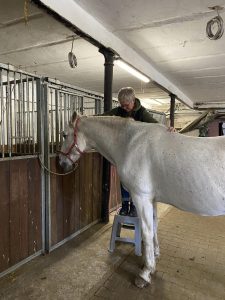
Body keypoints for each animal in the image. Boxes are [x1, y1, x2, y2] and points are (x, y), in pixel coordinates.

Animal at [59, 112, 225, 288]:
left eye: (64, 135)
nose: (61, 163)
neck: (130, 143)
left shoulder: (141, 197)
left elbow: (147, 231)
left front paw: (146, 273)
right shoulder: (152, 199)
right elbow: (155, 225)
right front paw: (156, 255)